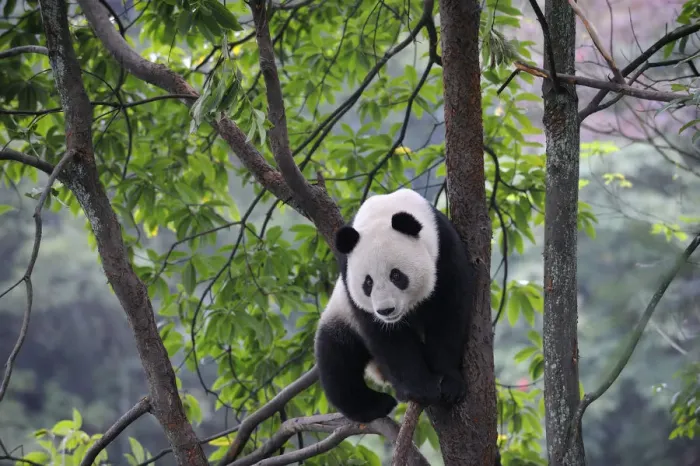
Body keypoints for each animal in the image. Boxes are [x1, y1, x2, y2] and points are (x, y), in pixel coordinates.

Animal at [314, 188, 474, 423]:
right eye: (367, 283)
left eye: (396, 275)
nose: (386, 310)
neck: (384, 211)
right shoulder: (350, 285)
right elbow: (388, 339)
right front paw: (420, 389)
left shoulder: (445, 251)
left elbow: (448, 316)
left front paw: (449, 383)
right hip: (340, 318)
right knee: (336, 361)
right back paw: (376, 404)